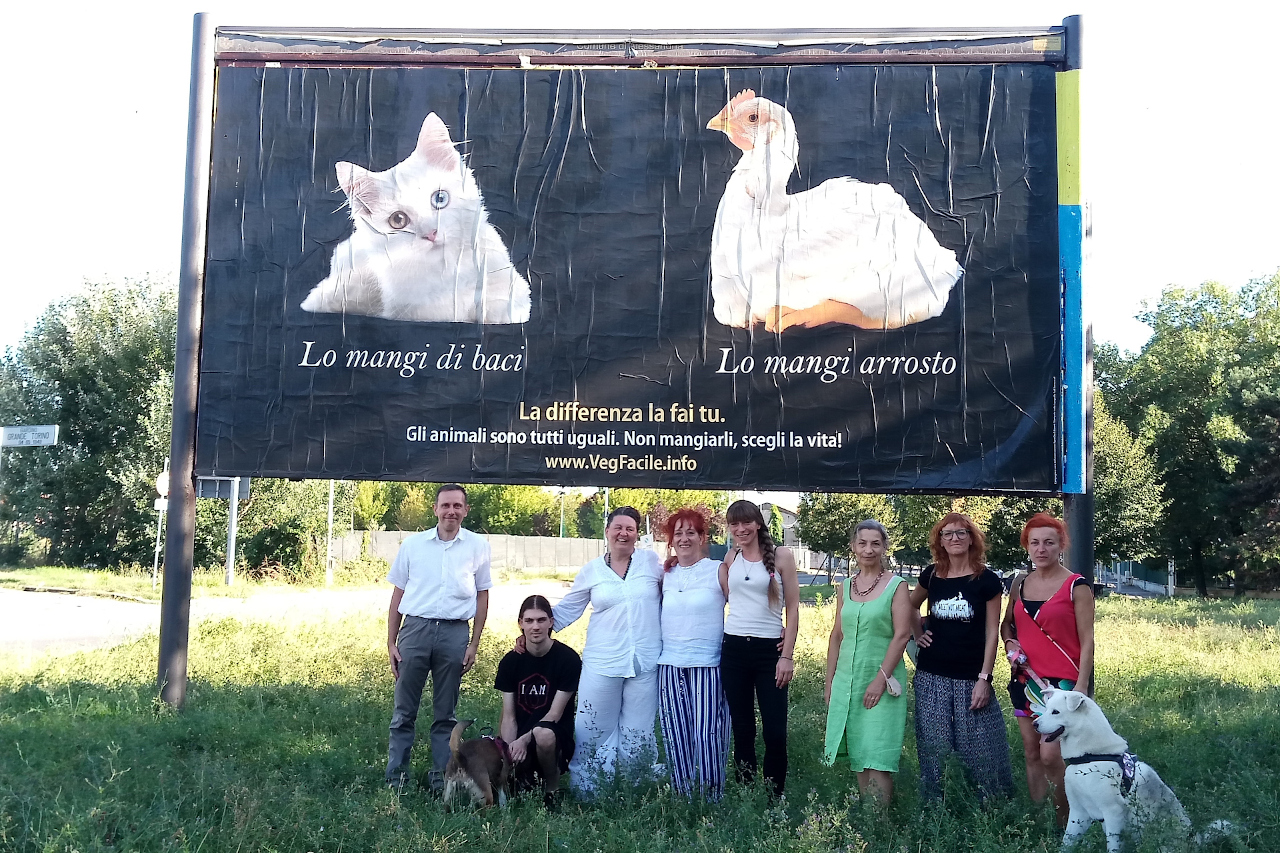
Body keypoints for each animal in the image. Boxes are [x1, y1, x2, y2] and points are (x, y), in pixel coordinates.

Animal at [300, 113, 531, 324]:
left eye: (440, 198)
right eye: (398, 220)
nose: (431, 233)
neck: (447, 269)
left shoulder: (512, 282)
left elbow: (505, 301)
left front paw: (496, 313)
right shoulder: (408, 309)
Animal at [1035, 690, 1234, 851]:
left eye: (1055, 712)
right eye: (1046, 708)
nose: (1034, 724)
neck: (1090, 756)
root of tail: (1195, 842)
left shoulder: (1112, 814)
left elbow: (1112, 847)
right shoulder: (1078, 813)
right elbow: (1067, 843)